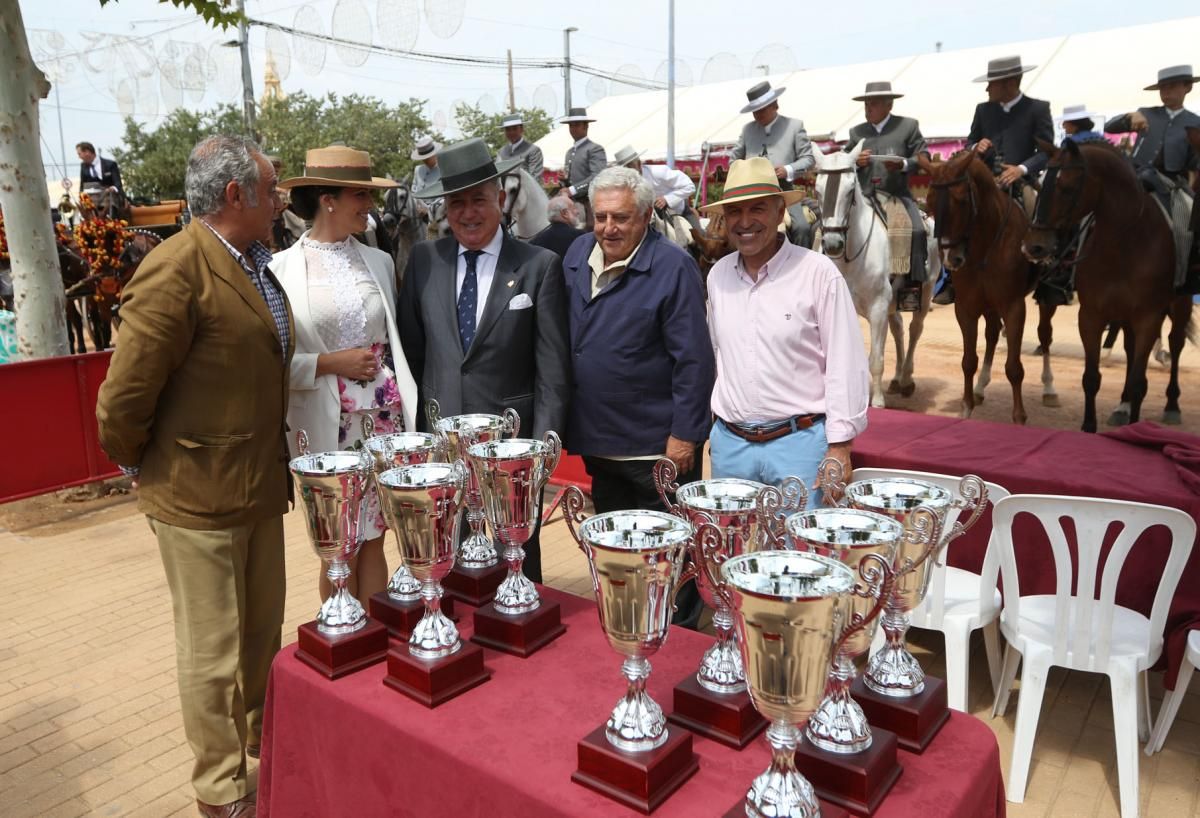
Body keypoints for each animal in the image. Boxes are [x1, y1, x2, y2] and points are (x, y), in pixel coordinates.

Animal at [816, 142, 936, 407]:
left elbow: (876, 359)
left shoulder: (878, 305)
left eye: (851, 190)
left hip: (925, 292)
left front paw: (878, 401)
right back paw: (897, 378)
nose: (832, 244)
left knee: (915, 330)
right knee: (898, 329)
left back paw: (906, 379)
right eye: (818, 192)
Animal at [921, 148, 1036, 424]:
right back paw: (980, 387)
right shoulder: (966, 307)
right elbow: (968, 361)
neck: (985, 248)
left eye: (962, 200)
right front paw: (966, 407)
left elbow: (1014, 368)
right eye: (929, 204)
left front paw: (1019, 417)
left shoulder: (1014, 306)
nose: (951, 259)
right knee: (992, 333)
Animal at [1022, 138, 1190, 434]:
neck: (1125, 242)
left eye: (1066, 188)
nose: (1035, 246)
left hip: (1179, 304)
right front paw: (1089, 427)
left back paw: (1172, 405)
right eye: (1041, 187)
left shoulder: (1148, 317)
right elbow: (1091, 377)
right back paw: (1122, 406)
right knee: (1131, 349)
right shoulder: (1092, 315)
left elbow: (1139, 382)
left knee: (1176, 343)